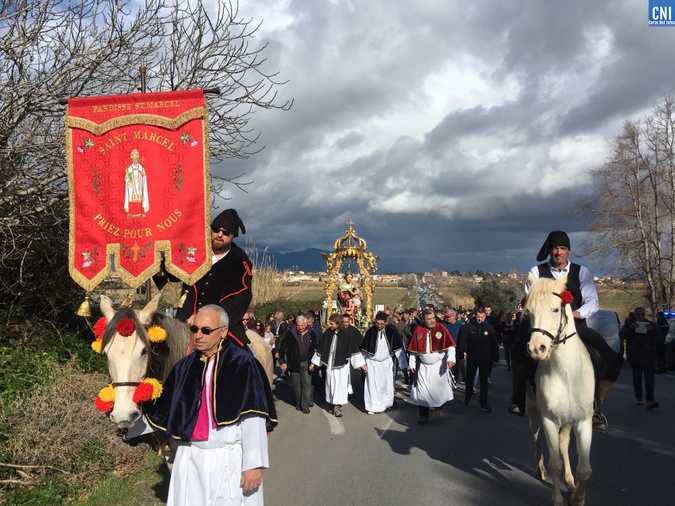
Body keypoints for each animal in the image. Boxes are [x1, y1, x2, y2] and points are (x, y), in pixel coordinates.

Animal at [524, 274, 596, 506]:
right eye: (529, 312)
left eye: (556, 309)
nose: (537, 349)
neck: (566, 373)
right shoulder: (549, 419)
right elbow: (555, 463)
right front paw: (557, 499)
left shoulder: (583, 421)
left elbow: (585, 470)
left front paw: (578, 497)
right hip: (533, 411)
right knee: (535, 434)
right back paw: (540, 468)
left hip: (567, 421)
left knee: (564, 444)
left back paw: (570, 481)